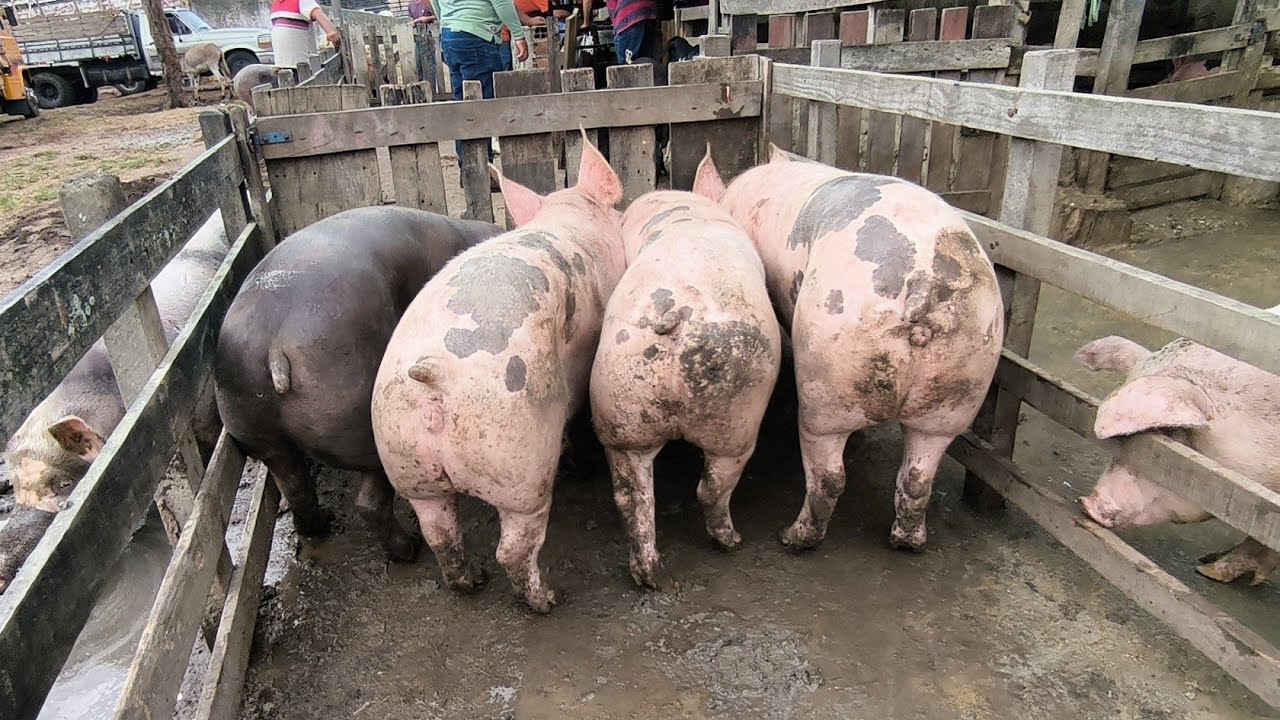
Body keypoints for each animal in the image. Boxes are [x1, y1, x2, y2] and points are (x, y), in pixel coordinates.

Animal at [215, 206, 501, 561]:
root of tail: (271, 345)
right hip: (363, 422)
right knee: (368, 504)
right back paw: (409, 549)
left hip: (258, 433)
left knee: (296, 489)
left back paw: (324, 523)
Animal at [371, 133, 625, 612]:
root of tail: (434, 374)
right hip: (521, 465)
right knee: (514, 548)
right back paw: (548, 599)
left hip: (406, 460)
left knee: (439, 533)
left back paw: (472, 581)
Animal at [590, 175, 781, 590]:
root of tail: (675, 315)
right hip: (736, 416)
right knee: (711, 489)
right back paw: (732, 541)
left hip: (620, 410)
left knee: (630, 497)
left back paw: (650, 576)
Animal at [694, 148, 1003, 553]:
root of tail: (922, 282)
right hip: (961, 382)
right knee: (919, 476)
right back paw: (906, 542)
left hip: (827, 375)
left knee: (828, 474)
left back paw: (792, 538)